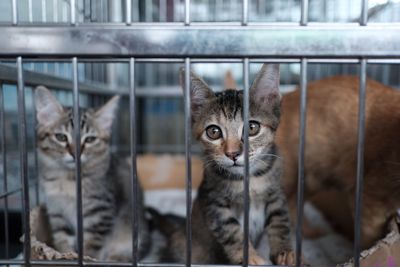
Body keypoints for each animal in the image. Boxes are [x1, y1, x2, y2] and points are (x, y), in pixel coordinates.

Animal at [34, 87, 150, 262]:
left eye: (89, 139)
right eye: (61, 137)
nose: (75, 154)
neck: (69, 180)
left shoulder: (100, 211)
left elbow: (91, 245)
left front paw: (87, 257)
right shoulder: (57, 211)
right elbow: (62, 240)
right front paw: (66, 255)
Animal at [164, 64, 296, 266]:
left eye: (252, 128)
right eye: (213, 131)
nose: (233, 154)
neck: (249, 178)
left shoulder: (276, 193)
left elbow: (280, 221)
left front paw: (285, 251)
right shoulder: (214, 204)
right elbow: (232, 232)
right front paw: (251, 258)